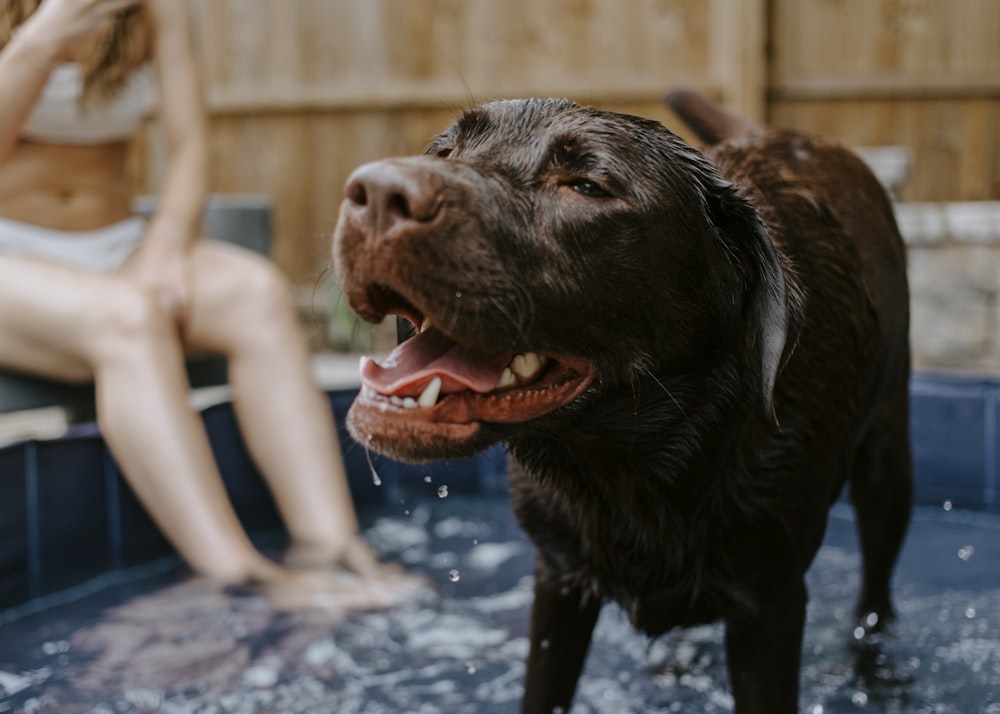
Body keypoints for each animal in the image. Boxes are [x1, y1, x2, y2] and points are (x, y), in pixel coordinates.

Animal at [334, 92, 916, 708]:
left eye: (587, 185)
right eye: (446, 151)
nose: (375, 194)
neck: (639, 466)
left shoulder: (771, 604)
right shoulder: (558, 579)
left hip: (887, 470)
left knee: (876, 594)